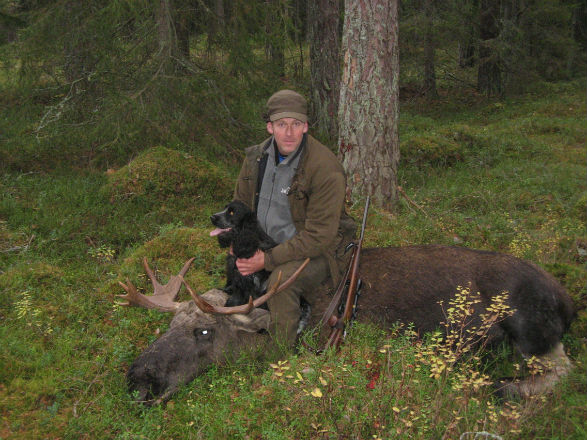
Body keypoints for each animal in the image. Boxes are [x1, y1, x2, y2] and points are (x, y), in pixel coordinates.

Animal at [118, 246, 576, 404]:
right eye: (168, 325)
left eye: (205, 331)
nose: (139, 379)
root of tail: (569, 301)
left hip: (528, 328)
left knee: (566, 369)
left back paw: (501, 387)